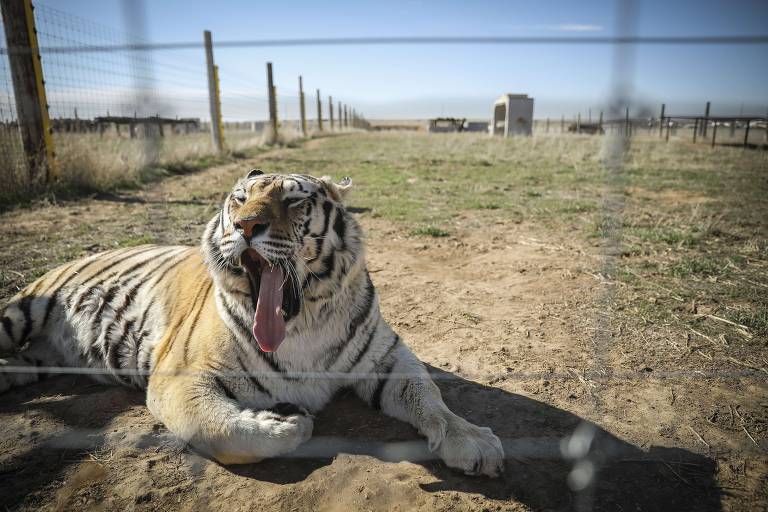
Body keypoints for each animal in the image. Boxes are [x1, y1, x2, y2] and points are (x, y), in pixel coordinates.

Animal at [0, 171, 504, 476]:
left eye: (293, 200)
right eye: (239, 200)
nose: (245, 226)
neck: (303, 324)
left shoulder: (387, 360)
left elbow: (430, 397)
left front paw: (473, 441)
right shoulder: (180, 376)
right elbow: (220, 427)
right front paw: (288, 423)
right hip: (17, 314)